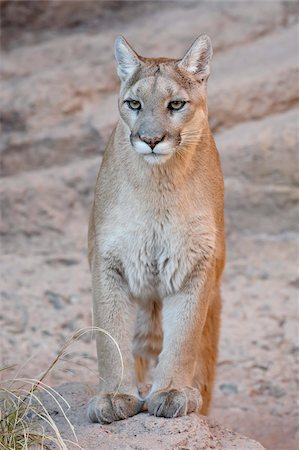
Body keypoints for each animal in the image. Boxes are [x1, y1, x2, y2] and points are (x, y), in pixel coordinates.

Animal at [86, 34, 225, 422]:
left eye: (175, 104)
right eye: (134, 103)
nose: (150, 140)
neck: (158, 185)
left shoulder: (195, 261)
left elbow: (183, 337)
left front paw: (173, 390)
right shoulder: (108, 260)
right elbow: (110, 336)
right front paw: (114, 395)